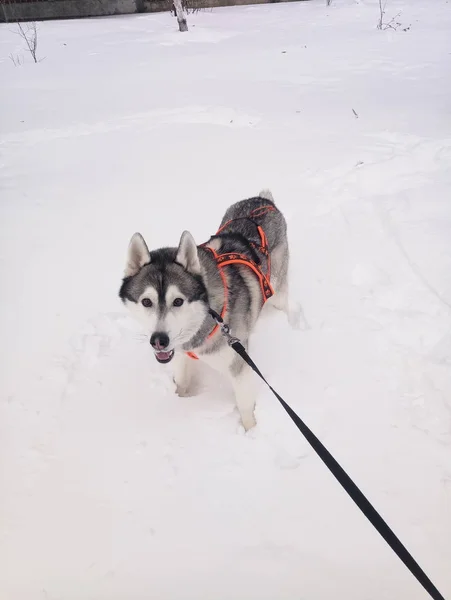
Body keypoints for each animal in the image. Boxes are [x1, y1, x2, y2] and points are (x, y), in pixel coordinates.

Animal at [118, 190, 292, 428]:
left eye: (178, 301)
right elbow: (182, 382)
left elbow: (245, 406)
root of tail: (262, 200)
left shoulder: (239, 364)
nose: (159, 340)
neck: (206, 318)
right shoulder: (179, 352)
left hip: (278, 284)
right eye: (146, 302)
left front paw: (251, 431)